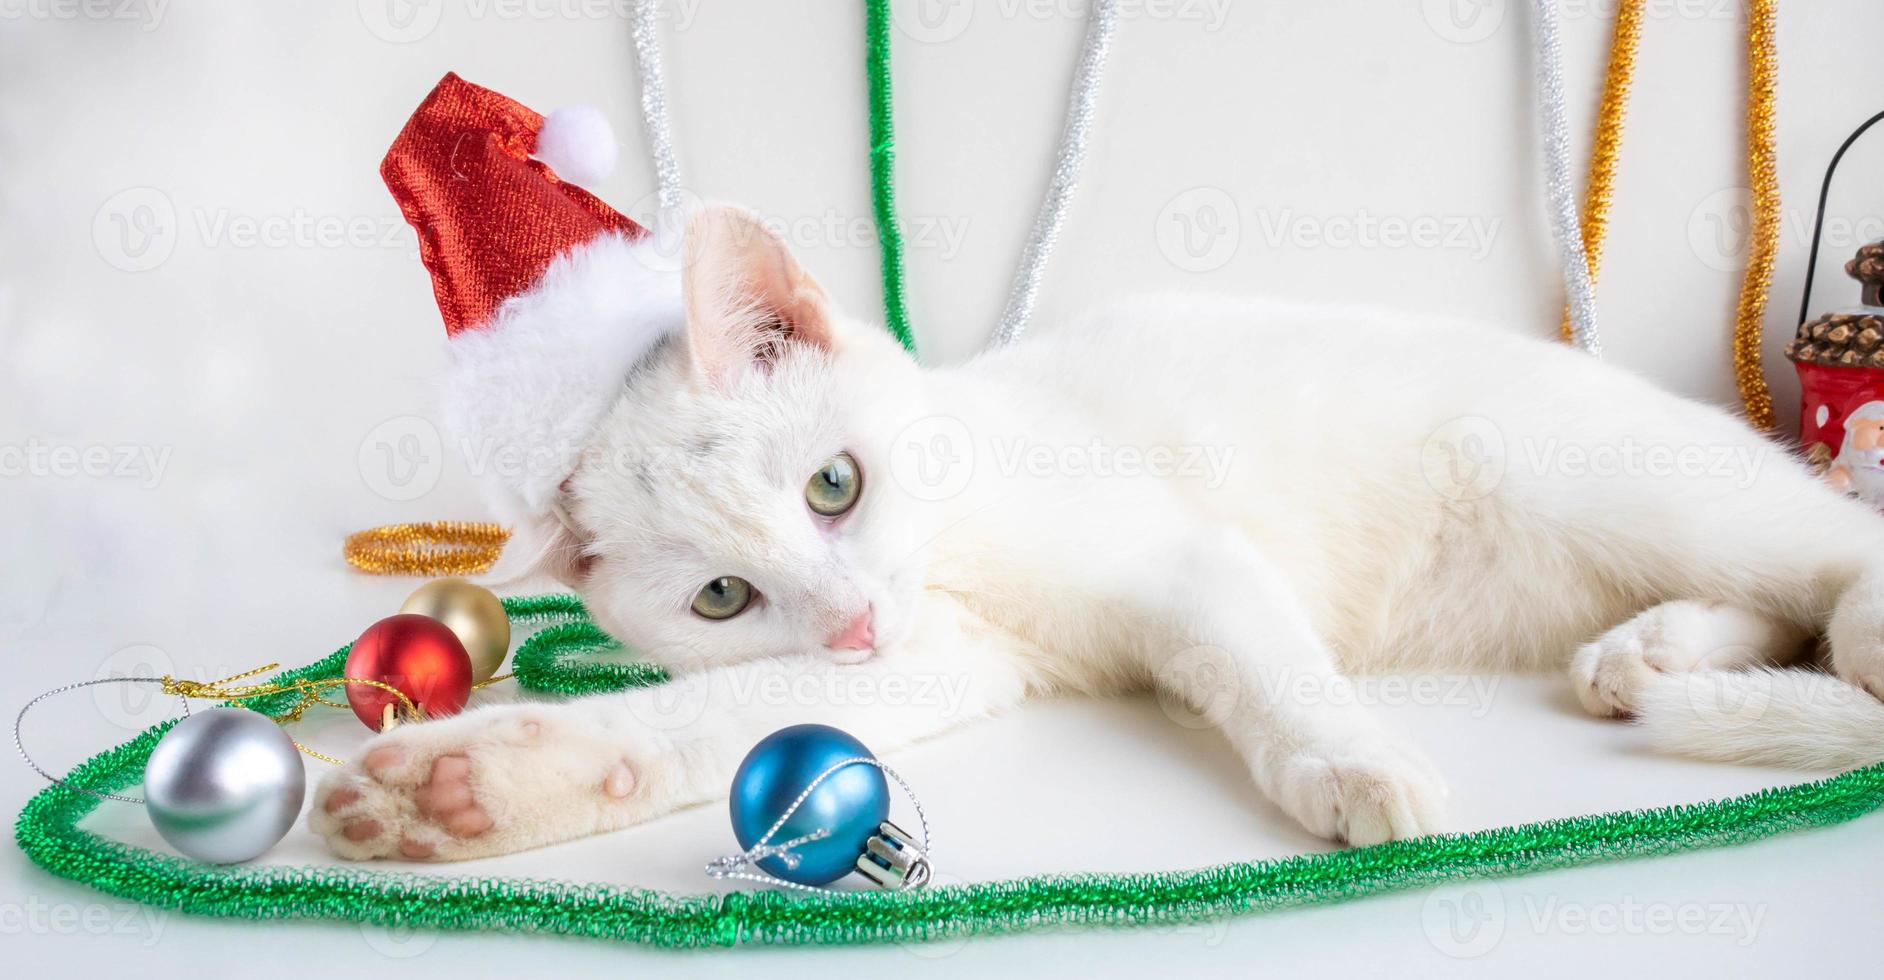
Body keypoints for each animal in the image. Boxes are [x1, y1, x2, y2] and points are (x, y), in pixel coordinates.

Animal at [316, 202, 1884, 863]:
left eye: (835, 485)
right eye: (719, 598)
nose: (854, 614)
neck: (957, 524)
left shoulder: (1182, 557)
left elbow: (1268, 665)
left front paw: (1354, 762)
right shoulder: (934, 657)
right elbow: (732, 722)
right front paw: (460, 789)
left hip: (1609, 480)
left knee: (1832, 565)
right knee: (1766, 602)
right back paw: (1648, 652)